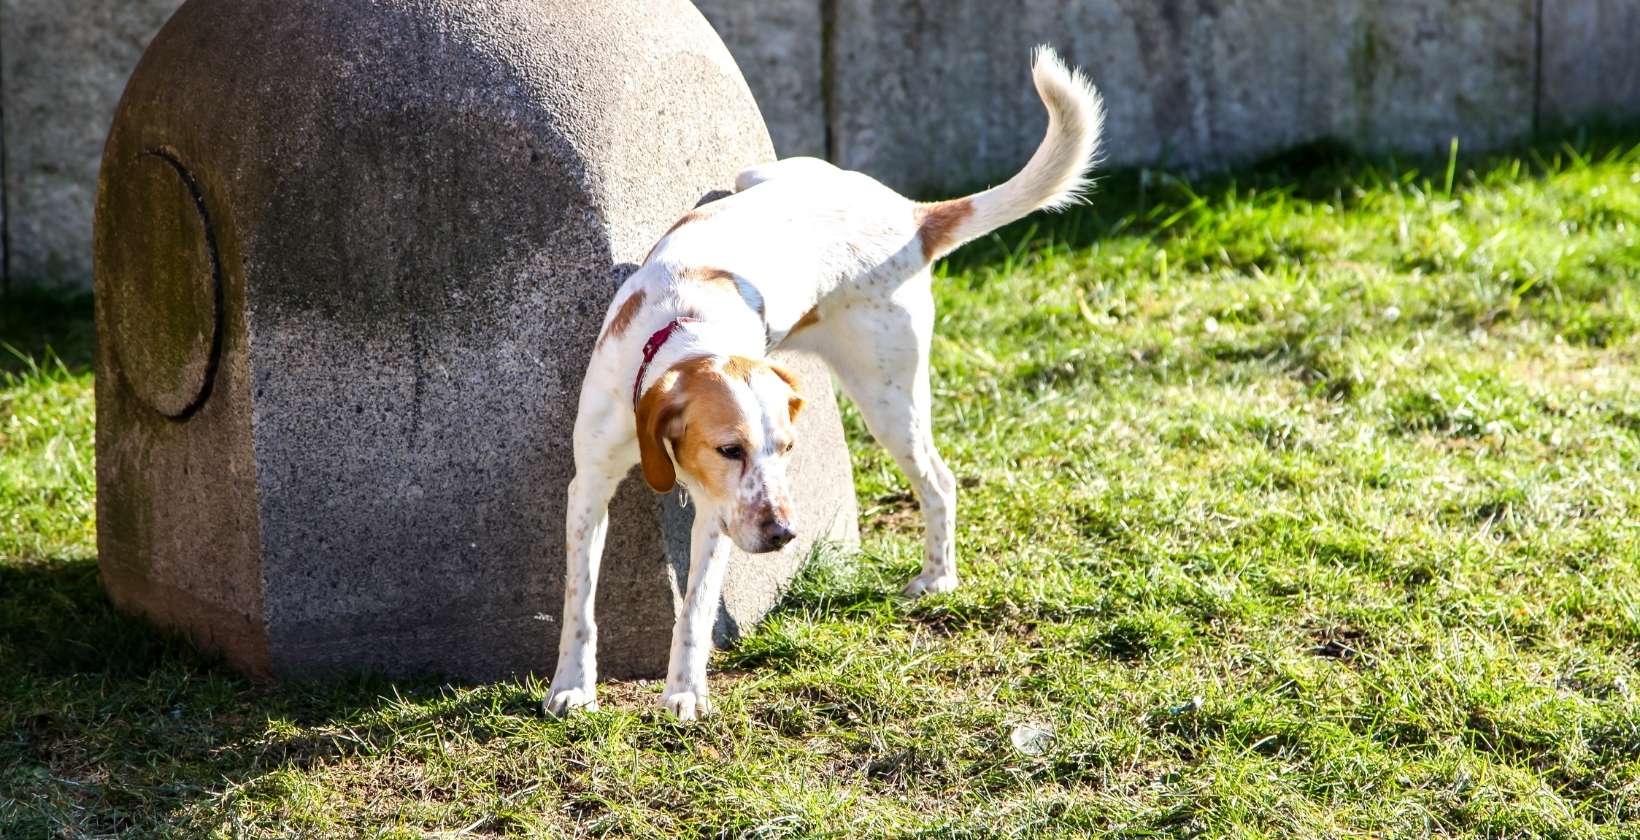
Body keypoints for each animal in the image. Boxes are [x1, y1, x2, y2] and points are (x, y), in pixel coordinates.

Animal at [547, 45, 1102, 718]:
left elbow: (696, 611)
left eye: (787, 449)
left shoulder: (718, 517)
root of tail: (910, 217)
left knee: (939, 482)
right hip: (761, 174)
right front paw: (572, 685)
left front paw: (684, 691)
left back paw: (937, 578)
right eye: (728, 449)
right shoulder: (591, 484)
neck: (689, 326)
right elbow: (579, 603)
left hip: (888, 399)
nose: (784, 534)